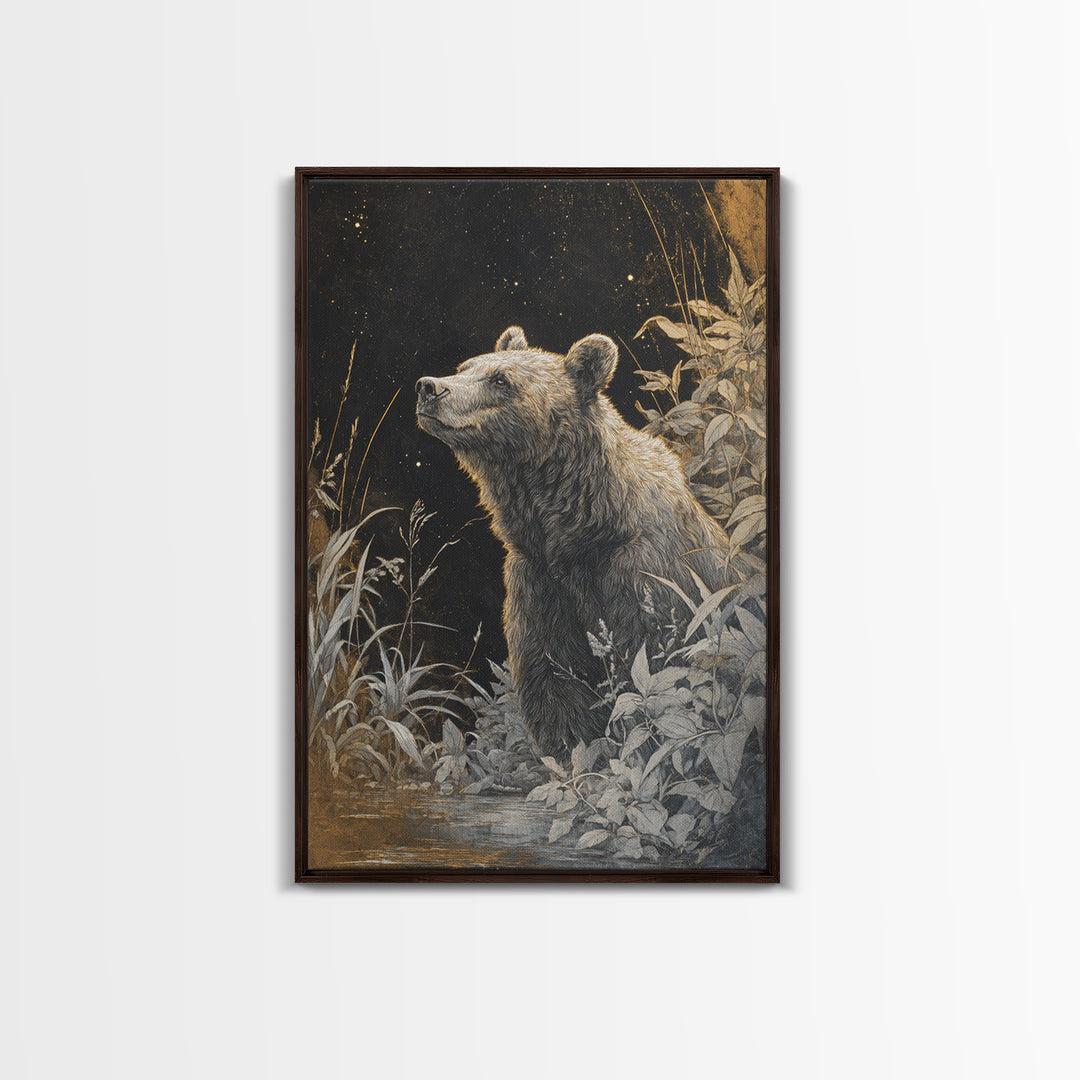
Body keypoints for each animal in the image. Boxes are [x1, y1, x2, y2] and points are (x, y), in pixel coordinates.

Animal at [416, 326, 730, 756]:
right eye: (465, 367)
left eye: (500, 380)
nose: (429, 387)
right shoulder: (539, 580)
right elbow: (555, 681)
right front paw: (575, 751)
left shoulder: (647, 571)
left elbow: (655, 665)